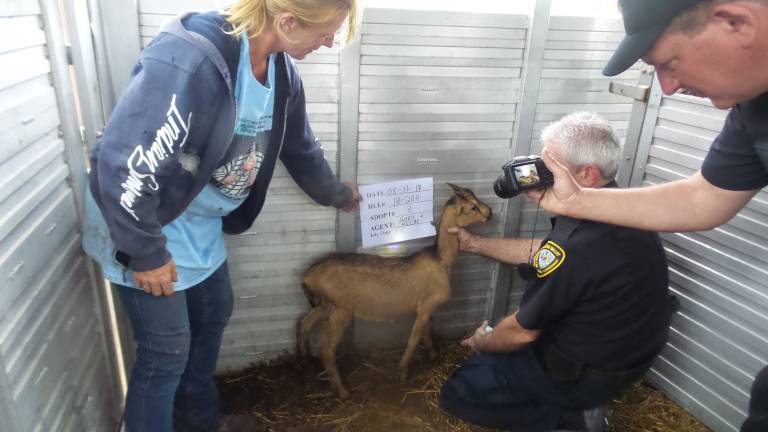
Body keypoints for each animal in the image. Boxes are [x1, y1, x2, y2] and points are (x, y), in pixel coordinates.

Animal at [297, 183, 492, 399]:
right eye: (473, 206)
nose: (490, 213)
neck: (441, 260)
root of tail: (308, 276)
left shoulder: (425, 307)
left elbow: (426, 331)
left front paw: (433, 354)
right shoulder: (427, 306)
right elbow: (414, 338)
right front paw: (402, 371)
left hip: (327, 305)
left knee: (304, 323)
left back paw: (304, 359)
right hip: (340, 308)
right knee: (327, 349)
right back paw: (342, 391)